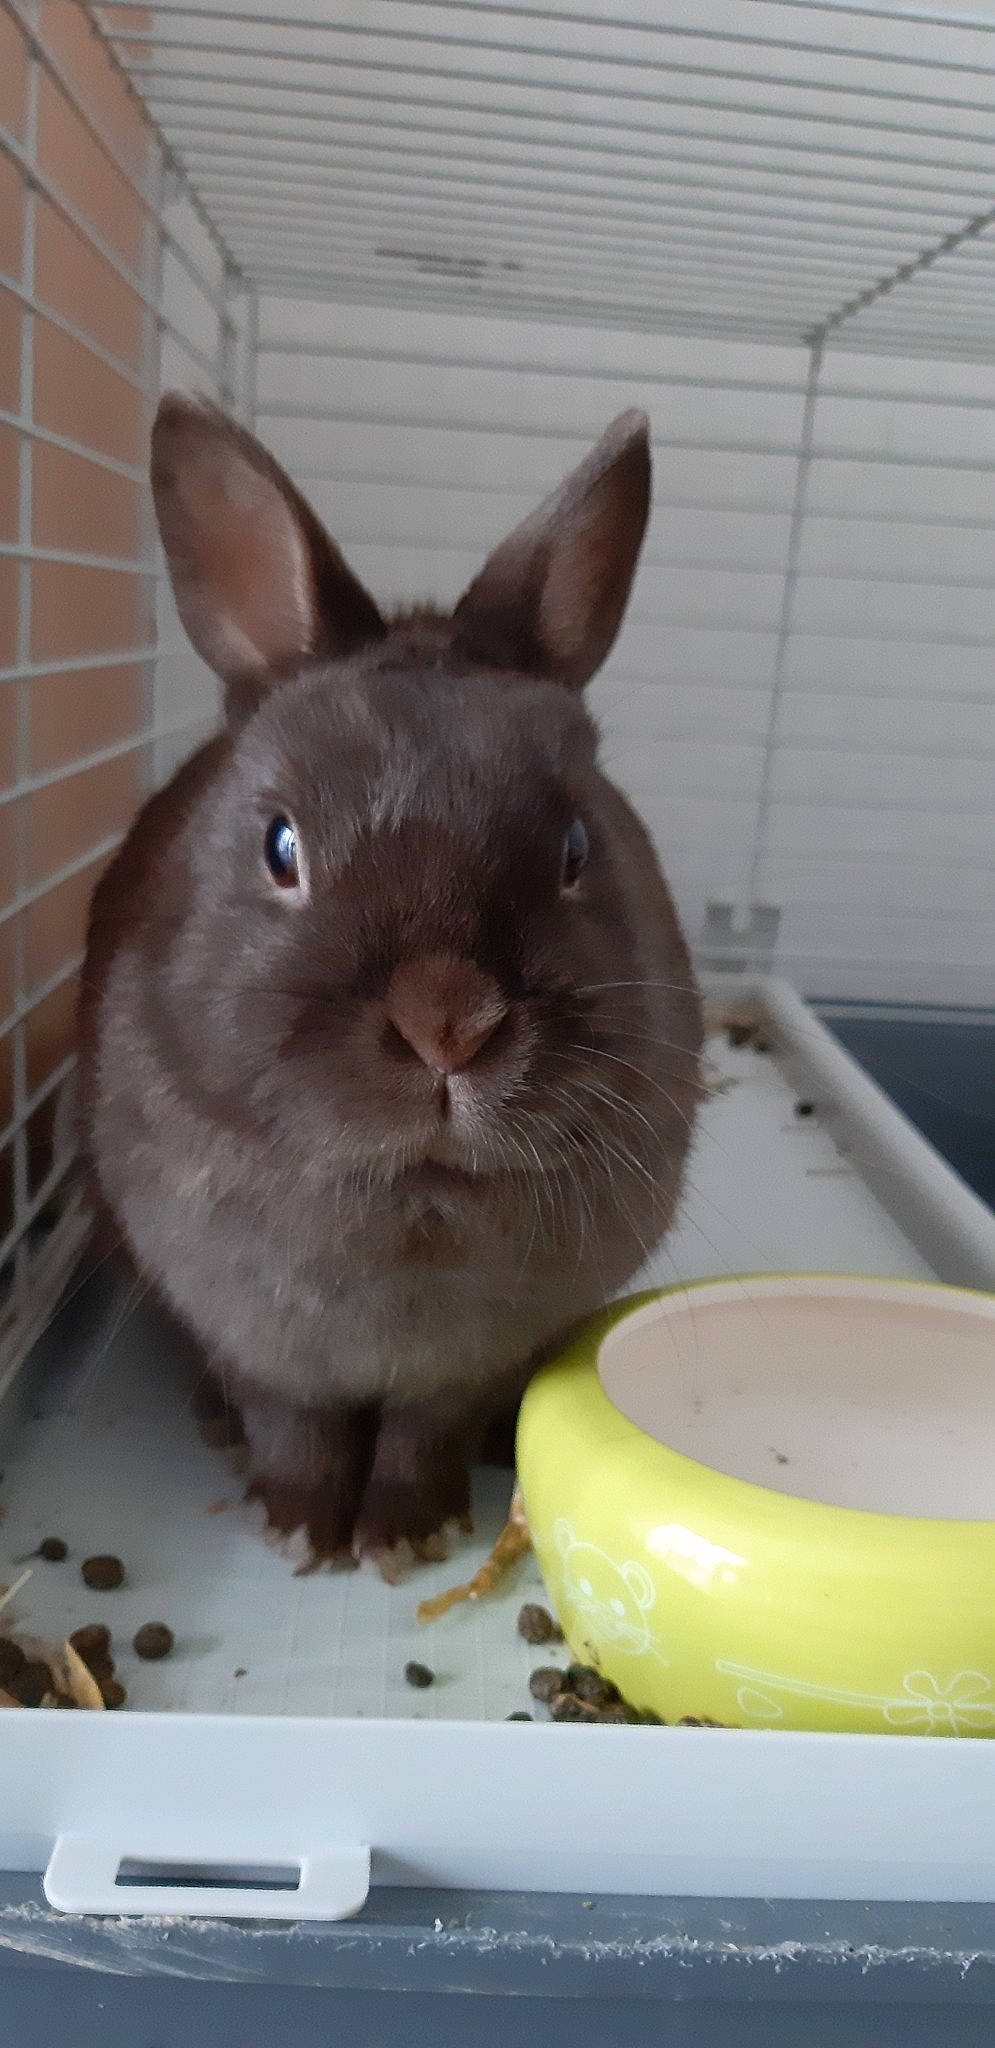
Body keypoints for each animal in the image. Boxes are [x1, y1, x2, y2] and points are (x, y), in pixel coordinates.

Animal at [77, 398, 703, 1573]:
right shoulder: (256, 1339)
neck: (412, 1189)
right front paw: (297, 1527)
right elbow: (294, 1423)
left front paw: (407, 1535)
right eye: (280, 847)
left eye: (574, 847)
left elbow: (425, 1431)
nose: (446, 1022)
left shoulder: (465, 1365)